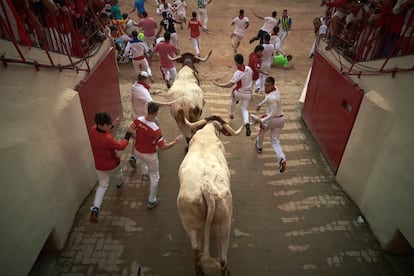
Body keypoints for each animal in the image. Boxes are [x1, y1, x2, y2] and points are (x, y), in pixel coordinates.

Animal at [177, 115, 243, 274]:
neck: (207, 134)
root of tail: (206, 188)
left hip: (191, 226)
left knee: (196, 253)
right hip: (224, 226)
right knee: (223, 259)